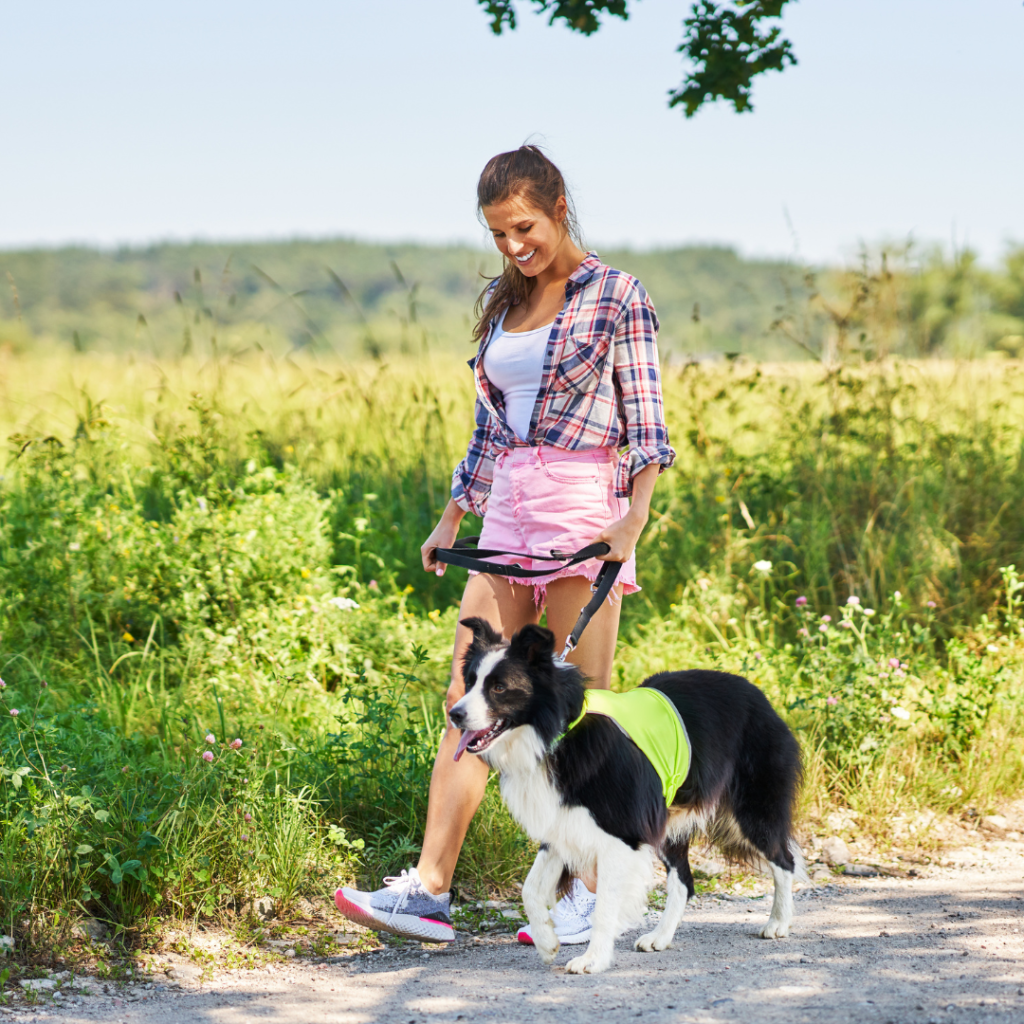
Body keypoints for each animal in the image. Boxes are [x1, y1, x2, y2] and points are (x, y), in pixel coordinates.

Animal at [452, 614, 802, 974]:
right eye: (470, 681)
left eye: (498, 687)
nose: (454, 714)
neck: (560, 731)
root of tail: (760, 696)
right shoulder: (561, 822)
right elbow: (530, 889)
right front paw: (547, 942)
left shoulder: (622, 835)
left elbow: (605, 905)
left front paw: (592, 959)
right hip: (669, 821)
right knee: (684, 881)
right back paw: (660, 937)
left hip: (752, 810)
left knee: (784, 860)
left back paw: (778, 922)